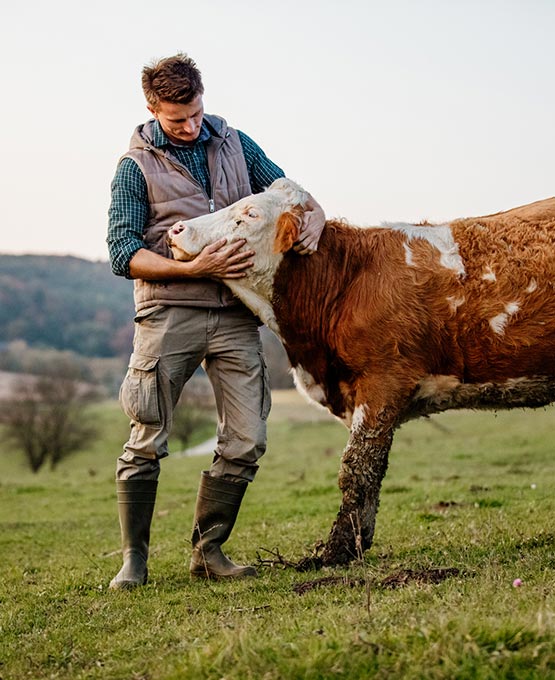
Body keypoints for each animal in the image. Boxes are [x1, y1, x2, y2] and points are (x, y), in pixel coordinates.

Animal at [168, 178, 555, 567]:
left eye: (249, 214)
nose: (177, 229)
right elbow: (372, 469)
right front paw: (357, 541)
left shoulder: (383, 382)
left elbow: (357, 467)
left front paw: (337, 549)